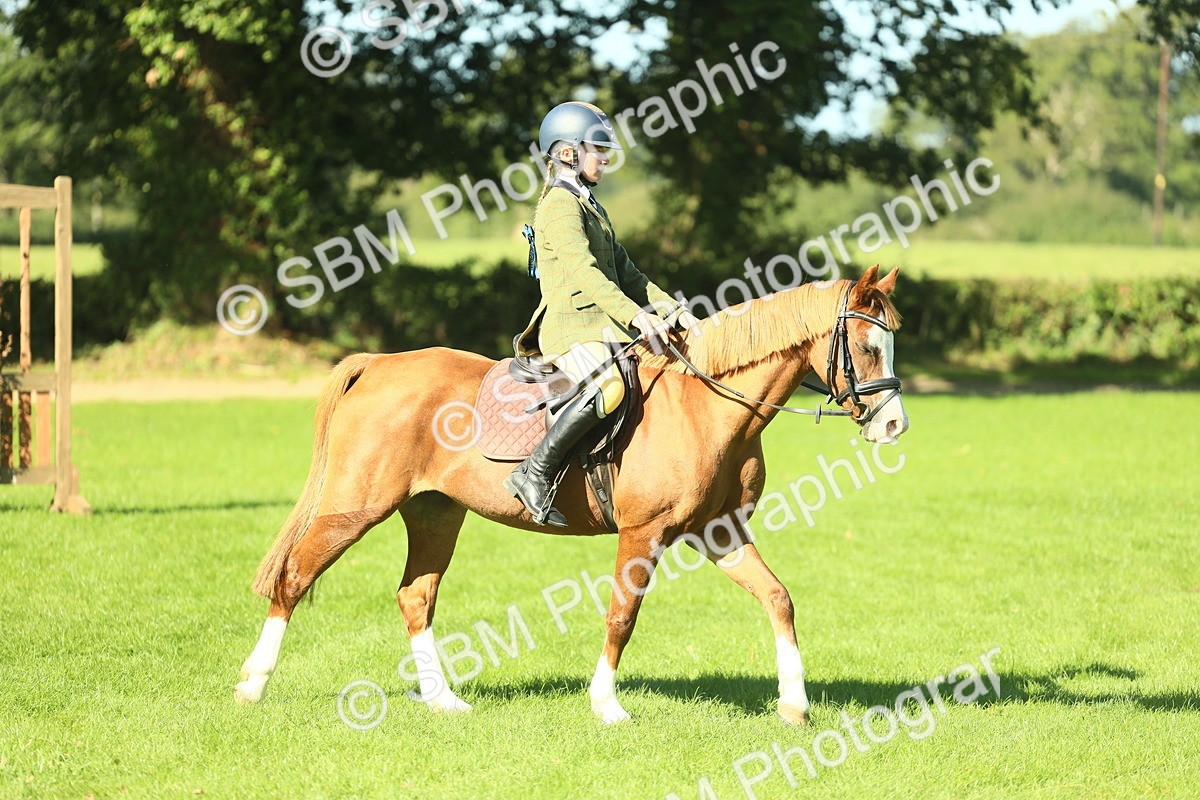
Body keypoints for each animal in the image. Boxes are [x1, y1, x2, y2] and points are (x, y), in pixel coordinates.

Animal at [234, 265, 909, 725]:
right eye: (867, 346)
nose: (894, 425)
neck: (707, 407)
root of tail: (379, 364)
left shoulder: (718, 532)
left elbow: (777, 598)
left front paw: (794, 704)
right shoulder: (644, 534)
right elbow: (622, 615)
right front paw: (607, 705)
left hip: (434, 514)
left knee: (415, 597)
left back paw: (443, 700)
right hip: (356, 507)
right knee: (295, 576)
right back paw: (252, 684)